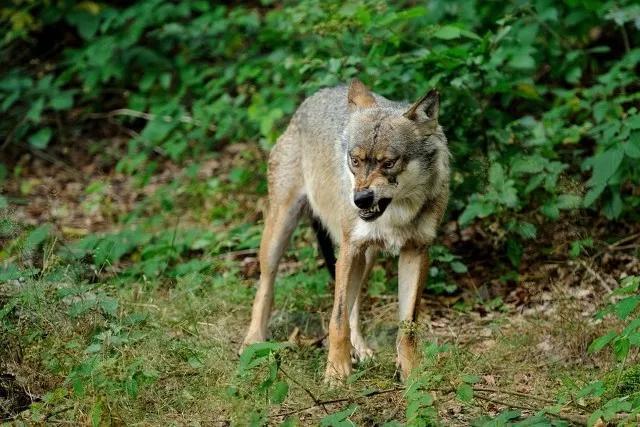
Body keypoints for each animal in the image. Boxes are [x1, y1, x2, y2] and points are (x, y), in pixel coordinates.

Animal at [241, 80, 450, 384]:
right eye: (355, 160)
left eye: (389, 163)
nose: (360, 199)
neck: (398, 212)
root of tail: (315, 96)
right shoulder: (350, 248)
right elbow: (337, 320)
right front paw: (336, 373)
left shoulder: (416, 251)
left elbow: (407, 327)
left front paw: (412, 376)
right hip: (281, 233)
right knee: (265, 285)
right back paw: (253, 340)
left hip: (367, 257)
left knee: (355, 305)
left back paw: (359, 350)